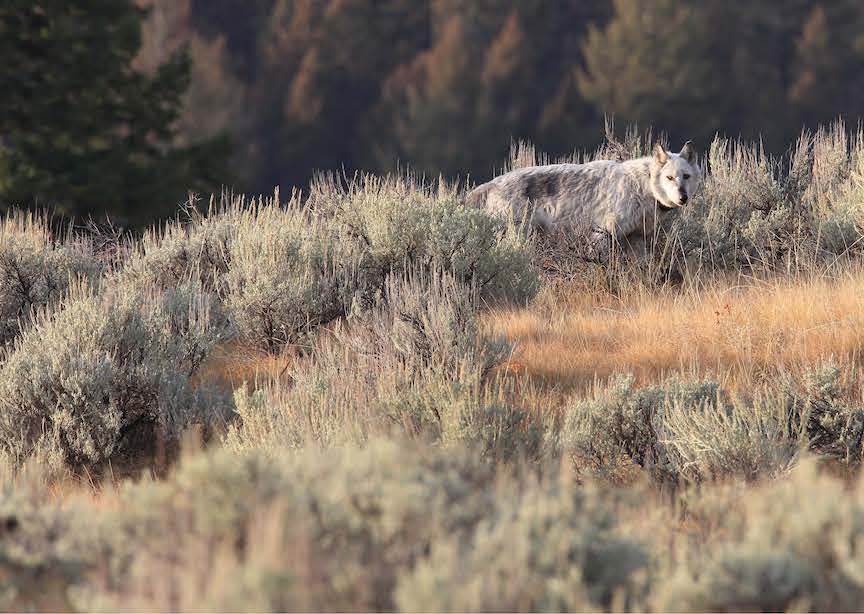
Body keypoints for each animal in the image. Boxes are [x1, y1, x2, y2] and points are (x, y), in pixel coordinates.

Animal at [466, 143, 704, 245]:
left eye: (685, 176)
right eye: (670, 178)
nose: (683, 197)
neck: (642, 185)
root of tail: (490, 184)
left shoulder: (637, 239)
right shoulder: (602, 234)